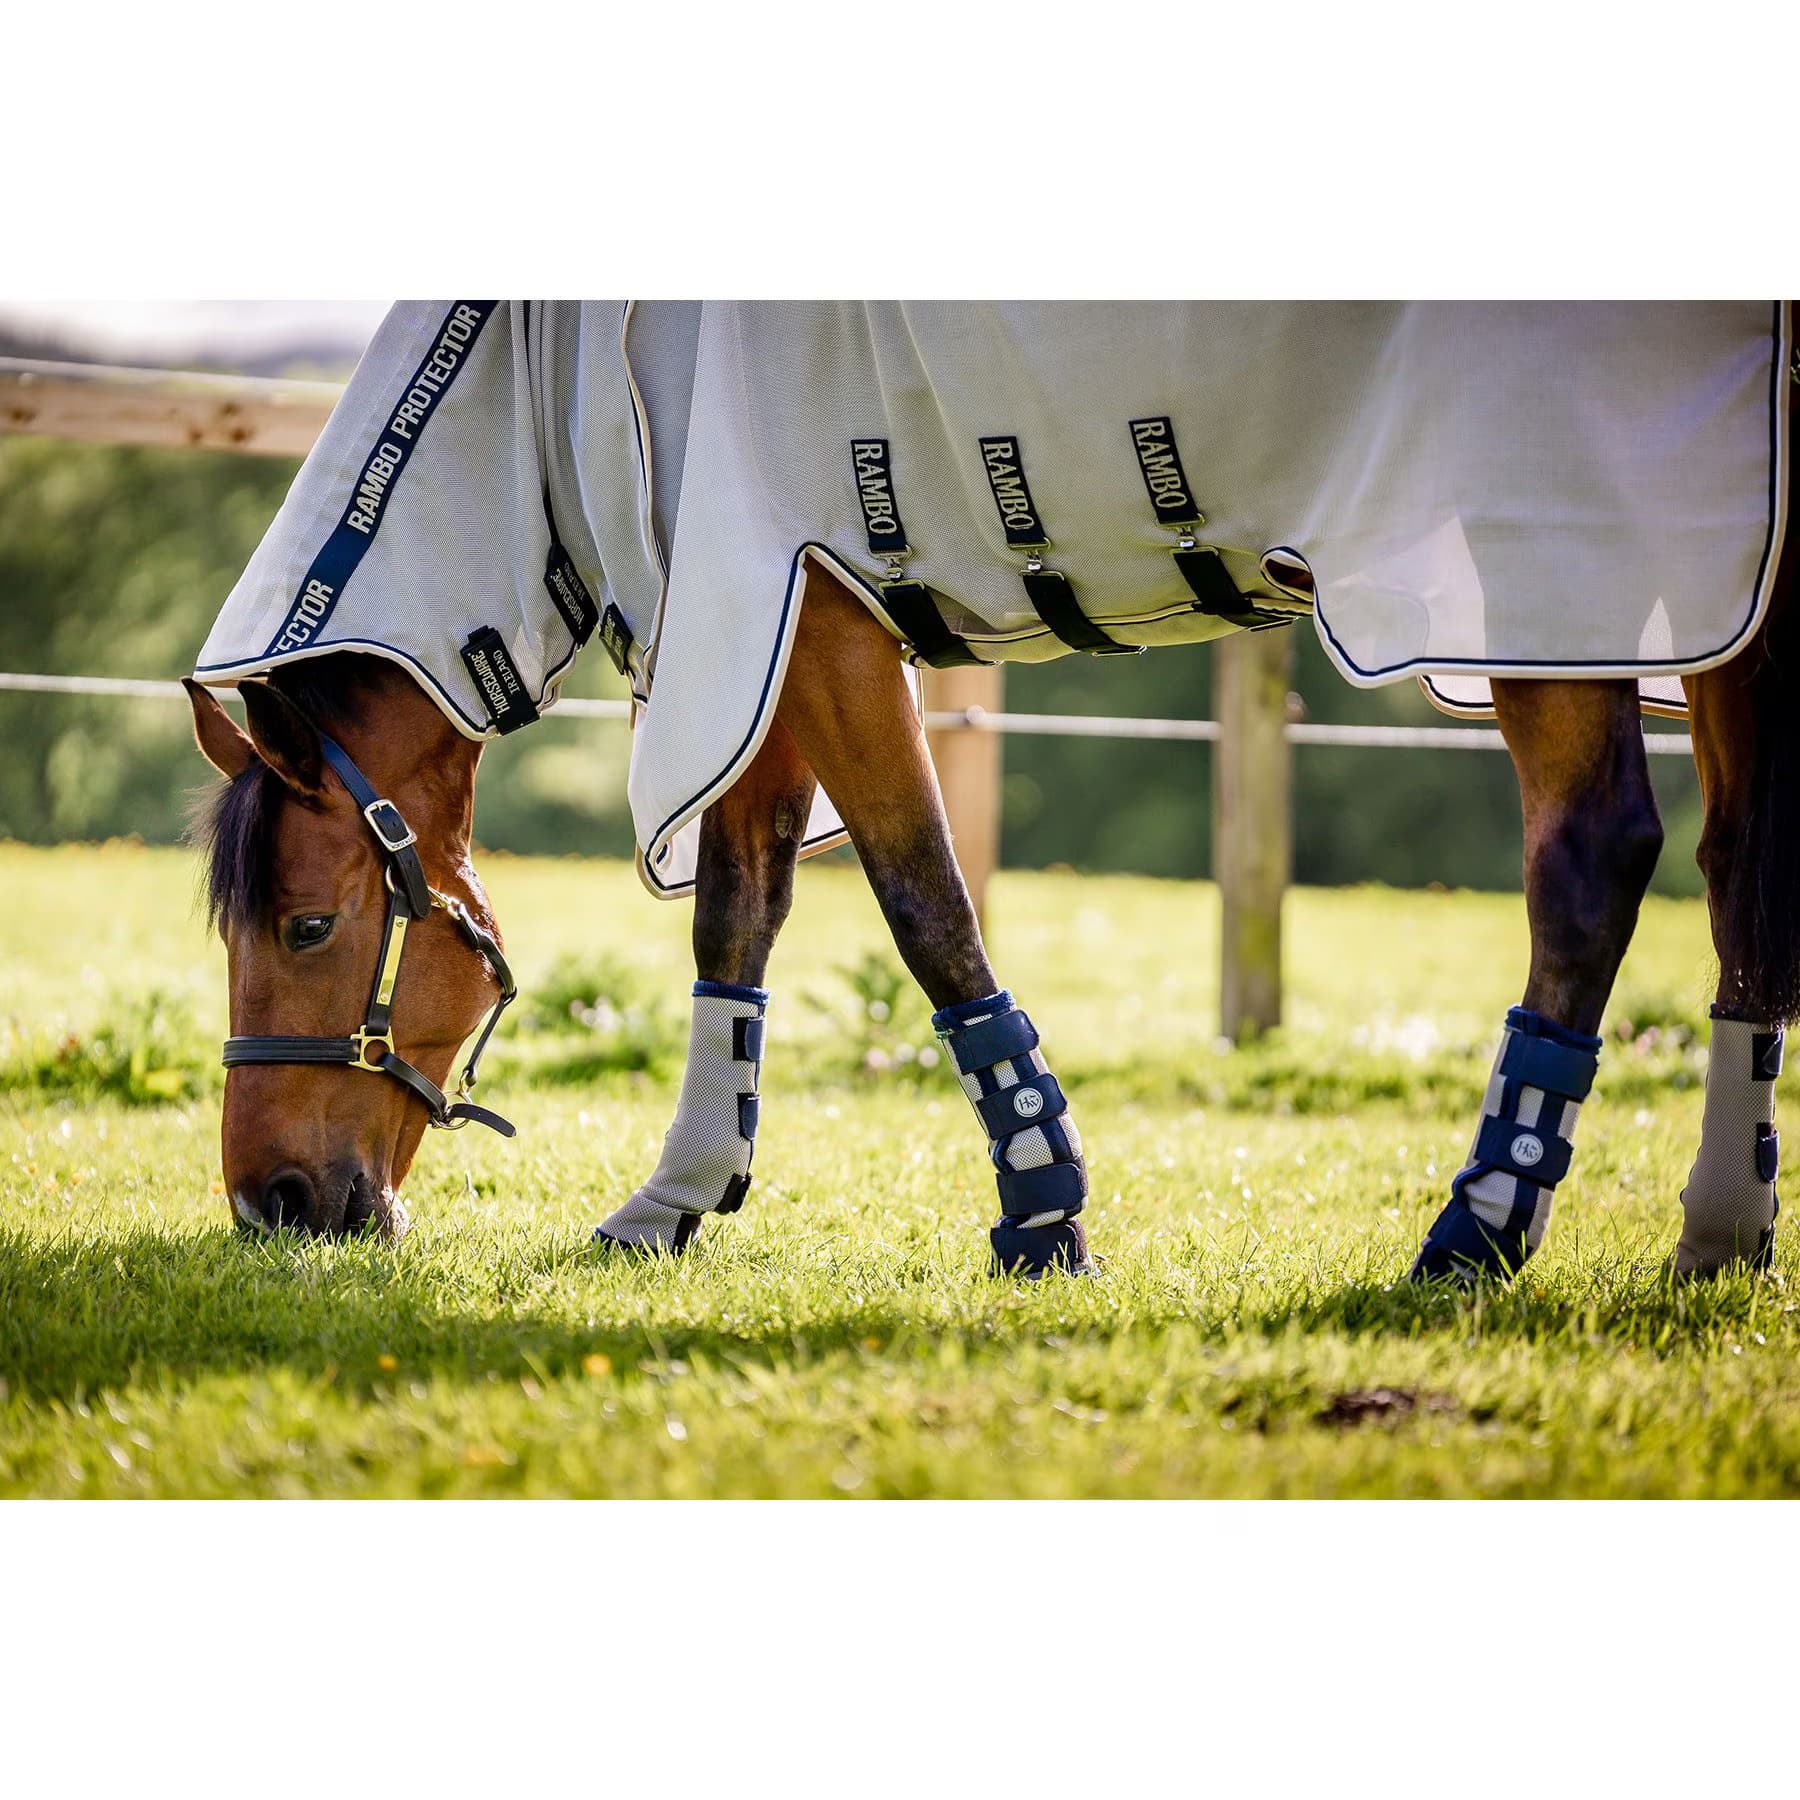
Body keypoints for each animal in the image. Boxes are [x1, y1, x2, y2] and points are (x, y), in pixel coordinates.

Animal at [182, 301, 1798, 1283]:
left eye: (311, 927)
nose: (267, 1207)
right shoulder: (761, 628)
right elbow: (738, 920)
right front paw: (680, 1194)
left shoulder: (807, 607)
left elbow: (922, 900)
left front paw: (1041, 1204)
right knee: (1744, 869)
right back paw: (1721, 1231)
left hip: (1542, 577)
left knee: (1594, 855)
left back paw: (1481, 1223)